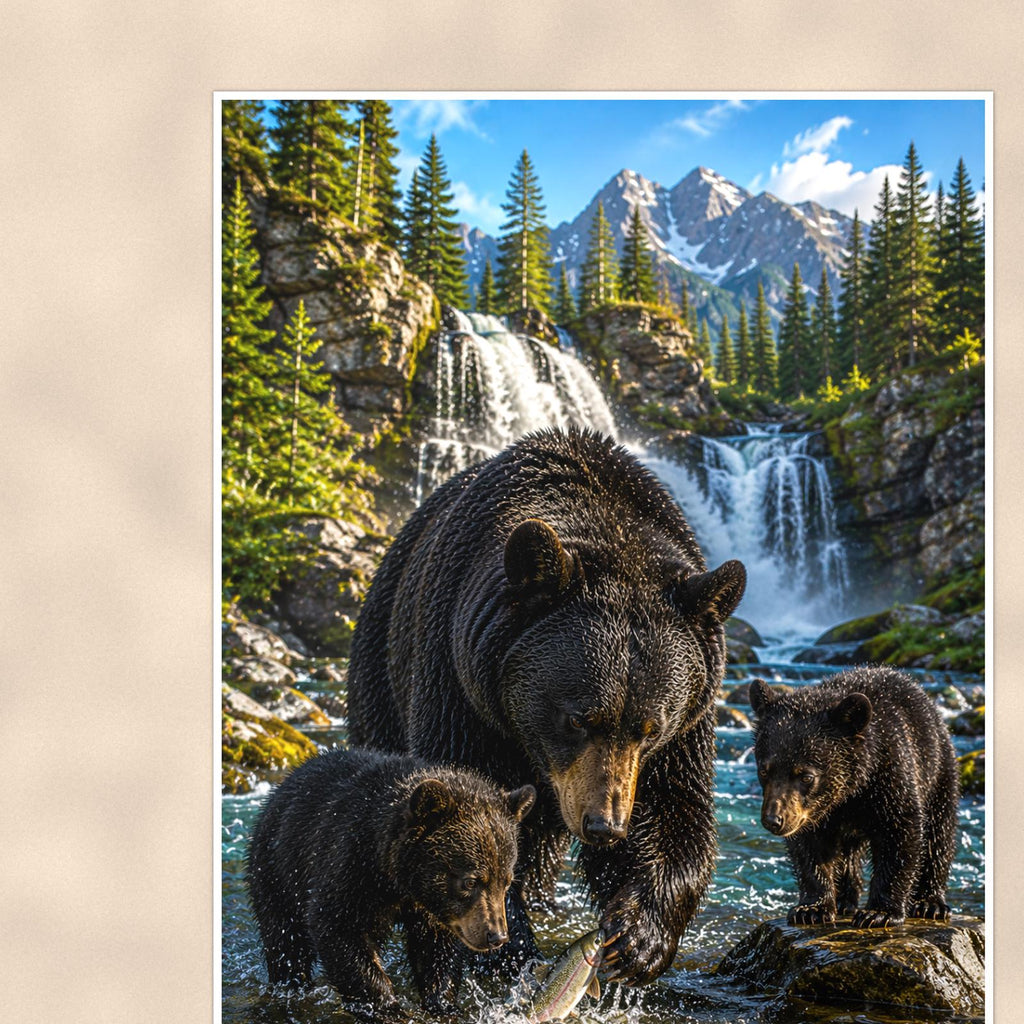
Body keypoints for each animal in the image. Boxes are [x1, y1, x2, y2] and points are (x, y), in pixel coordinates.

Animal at [246, 746, 535, 1015]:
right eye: (470, 882)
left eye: (506, 881)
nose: (496, 935)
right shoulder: (349, 864)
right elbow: (337, 927)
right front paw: (385, 1006)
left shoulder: (432, 909)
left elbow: (437, 949)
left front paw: (442, 1002)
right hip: (277, 872)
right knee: (285, 942)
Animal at [347, 426, 747, 984]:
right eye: (578, 718)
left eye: (650, 728)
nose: (605, 827)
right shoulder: (459, 685)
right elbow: (463, 817)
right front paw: (508, 948)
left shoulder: (688, 722)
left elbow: (676, 810)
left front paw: (638, 938)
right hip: (381, 672)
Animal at [749, 666, 960, 928]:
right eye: (764, 770)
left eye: (806, 776)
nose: (773, 820)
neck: (850, 792)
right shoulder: (813, 814)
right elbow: (810, 848)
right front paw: (811, 908)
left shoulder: (892, 775)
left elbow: (900, 834)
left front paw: (879, 913)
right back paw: (844, 901)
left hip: (939, 772)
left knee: (939, 835)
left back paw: (930, 903)